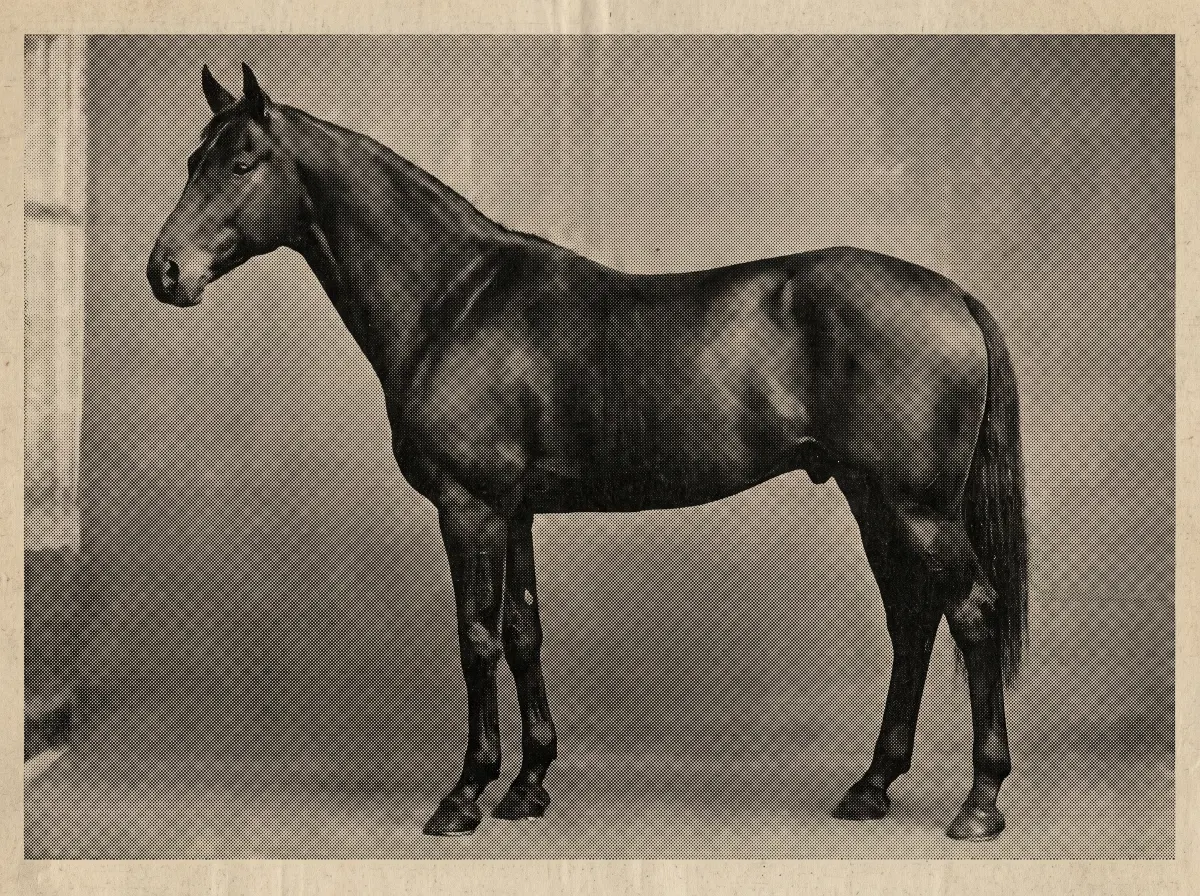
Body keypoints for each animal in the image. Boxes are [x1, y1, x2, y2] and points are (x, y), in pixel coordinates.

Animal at [149, 65, 1028, 842]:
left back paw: (980, 802)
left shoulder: (468, 508)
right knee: (912, 620)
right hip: (872, 500)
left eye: (242, 162)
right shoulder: (515, 512)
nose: (165, 272)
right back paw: (871, 786)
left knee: (972, 612)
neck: (453, 300)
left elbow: (476, 639)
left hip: (917, 508)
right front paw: (528, 785)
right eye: (193, 160)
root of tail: (952, 294)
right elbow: (524, 632)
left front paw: (464, 795)